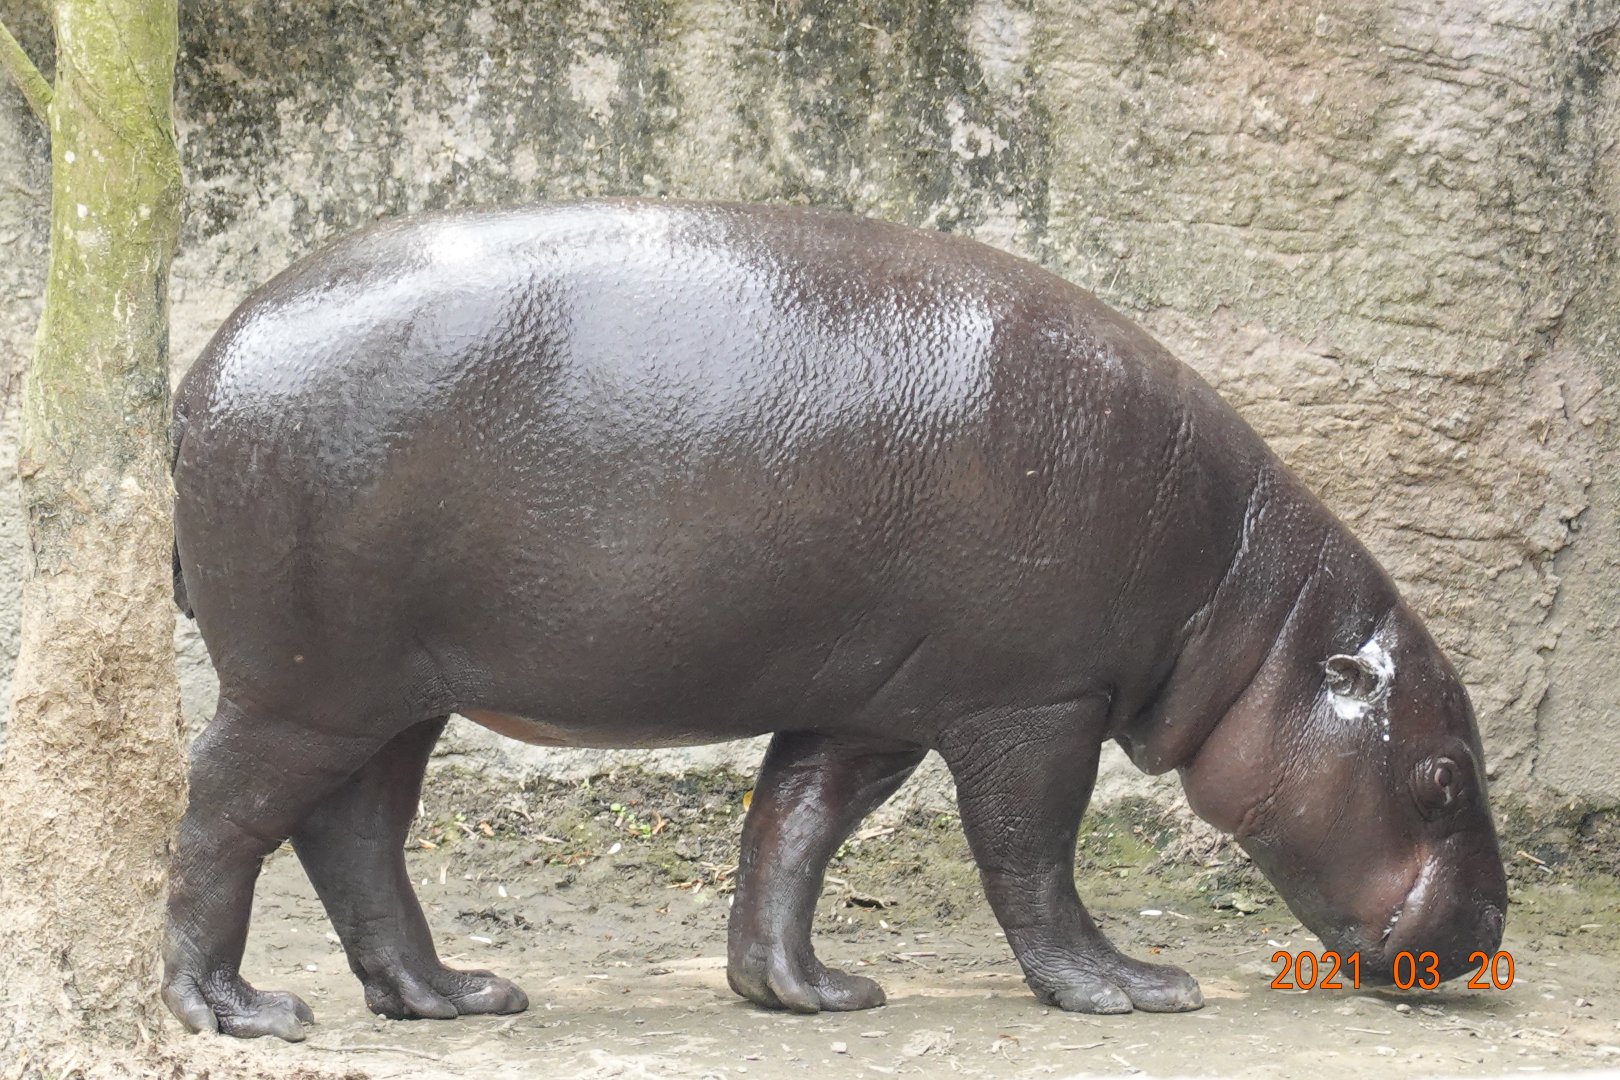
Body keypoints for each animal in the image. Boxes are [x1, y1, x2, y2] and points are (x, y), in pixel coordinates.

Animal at [162, 200, 1507, 1041]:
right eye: (1444, 777)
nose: (1496, 928)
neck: (1250, 612)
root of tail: (204, 366)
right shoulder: (1034, 700)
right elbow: (1031, 855)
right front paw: (1133, 989)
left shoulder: (871, 706)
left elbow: (792, 832)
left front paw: (804, 993)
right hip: (303, 683)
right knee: (223, 814)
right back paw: (238, 1013)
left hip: (393, 692)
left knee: (354, 834)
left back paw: (455, 997)